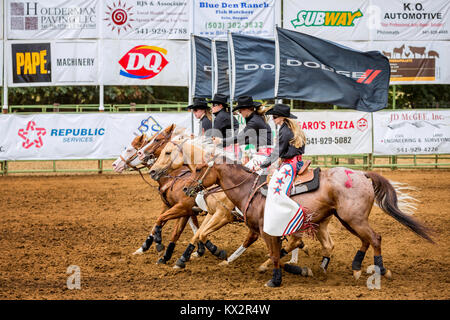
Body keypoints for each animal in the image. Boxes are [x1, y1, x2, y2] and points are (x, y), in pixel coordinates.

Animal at [184, 158, 436, 288]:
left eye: (199, 169)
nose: (186, 188)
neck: (250, 190)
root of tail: (362, 175)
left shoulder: (267, 231)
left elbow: (276, 254)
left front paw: (275, 278)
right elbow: (281, 251)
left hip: (353, 218)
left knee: (374, 237)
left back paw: (380, 269)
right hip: (347, 219)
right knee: (364, 240)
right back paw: (355, 267)